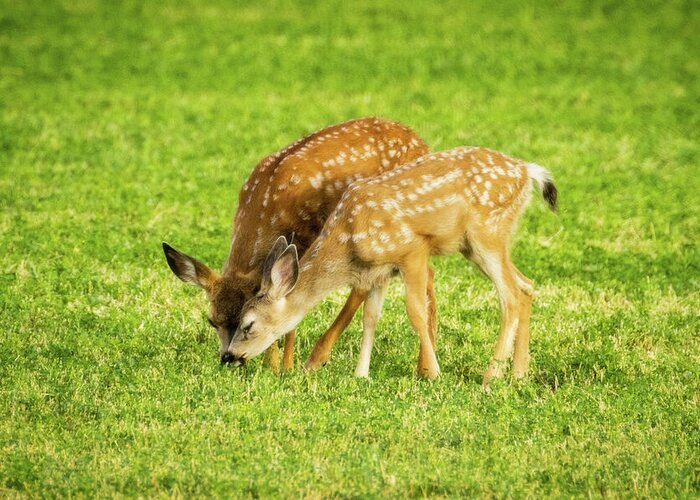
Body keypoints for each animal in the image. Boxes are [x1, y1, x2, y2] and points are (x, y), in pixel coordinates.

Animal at [163, 117, 432, 372]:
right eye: (212, 320)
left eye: (243, 321)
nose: (227, 358)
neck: (265, 204)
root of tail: (420, 141)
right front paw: (272, 365)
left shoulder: (305, 239)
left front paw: (284, 366)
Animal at [228, 146, 556, 384]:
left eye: (248, 324)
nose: (229, 356)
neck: (348, 238)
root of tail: (527, 170)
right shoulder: (379, 272)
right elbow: (370, 317)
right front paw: (361, 375)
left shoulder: (412, 250)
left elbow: (416, 312)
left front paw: (433, 373)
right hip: (477, 244)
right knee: (525, 286)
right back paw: (518, 374)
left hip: (486, 233)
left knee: (510, 295)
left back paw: (492, 376)